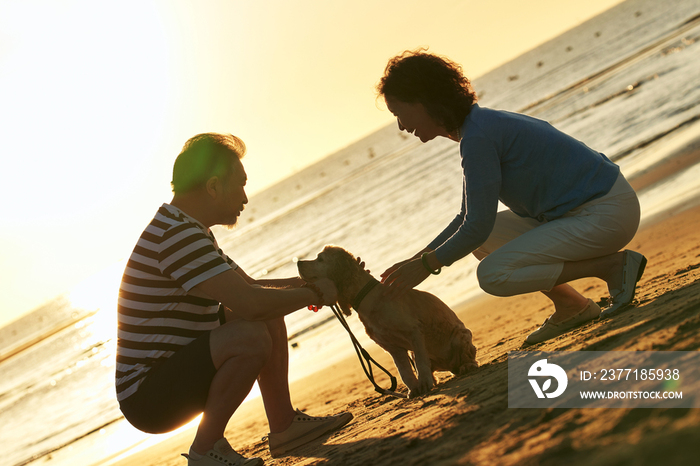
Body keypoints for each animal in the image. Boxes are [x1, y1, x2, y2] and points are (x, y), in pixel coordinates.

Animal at [298, 244, 478, 396]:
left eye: (320, 259)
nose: (298, 262)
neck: (369, 296)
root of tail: (451, 366)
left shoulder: (414, 332)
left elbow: (420, 363)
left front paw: (424, 384)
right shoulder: (391, 346)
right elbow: (404, 371)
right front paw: (414, 389)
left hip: (460, 335)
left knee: (468, 359)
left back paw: (466, 366)